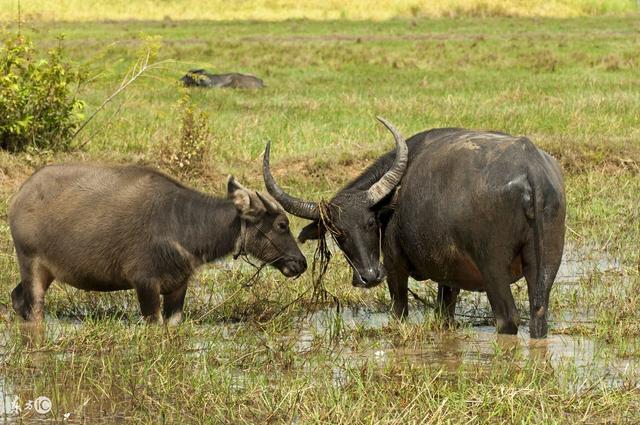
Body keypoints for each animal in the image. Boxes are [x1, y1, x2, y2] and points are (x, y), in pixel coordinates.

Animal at [7, 164, 308, 322]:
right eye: (282, 225)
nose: (300, 262)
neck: (182, 223)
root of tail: (20, 195)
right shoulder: (145, 285)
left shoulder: (178, 288)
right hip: (30, 264)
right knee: (33, 308)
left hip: (46, 272)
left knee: (17, 298)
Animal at [264, 117, 564, 336]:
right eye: (338, 234)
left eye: (370, 222)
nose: (369, 276)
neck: (391, 200)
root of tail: (531, 170)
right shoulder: (448, 275)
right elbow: (444, 313)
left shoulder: (395, 266)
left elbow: (399, 310)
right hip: (547, 263)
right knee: (538, 312)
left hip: (492, 268)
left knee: (507, 318)